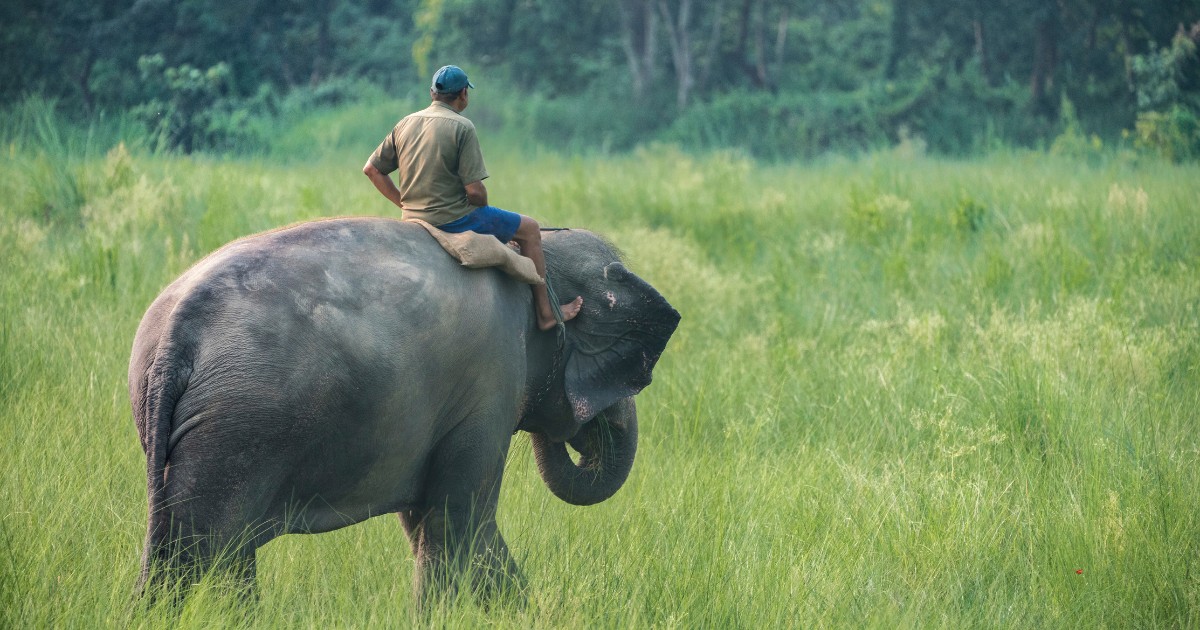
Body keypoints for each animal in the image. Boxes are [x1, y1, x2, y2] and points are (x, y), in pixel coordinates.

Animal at [128, 216, 679, 605]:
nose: (585, 429)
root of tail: (177, 330)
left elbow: (433, 523)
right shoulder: (491, 383)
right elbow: (460, 522)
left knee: (197, 552)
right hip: (240, 429)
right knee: (206, 550)